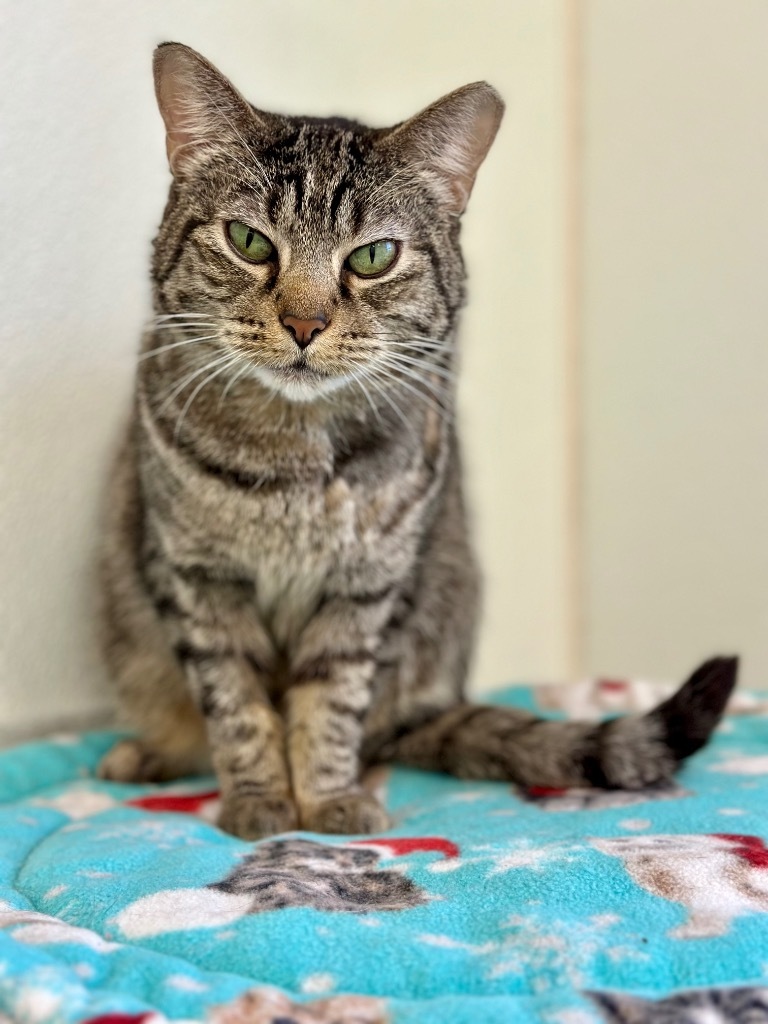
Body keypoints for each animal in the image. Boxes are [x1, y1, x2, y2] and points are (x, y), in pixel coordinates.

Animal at [97, 41, 741, 839]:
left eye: (372, 257)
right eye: (248, 242)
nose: (304, 324)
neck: (297, 455)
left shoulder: (366, 589)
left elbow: (330, 706)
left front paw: (328, 802)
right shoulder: (196, 578)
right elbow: (237, 705)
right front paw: (258, 802)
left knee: (379, 732)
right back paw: (147, 754)